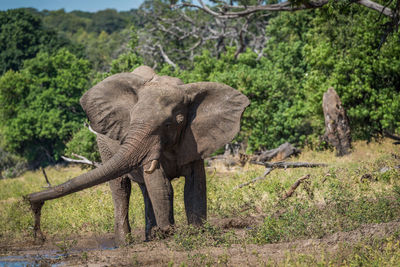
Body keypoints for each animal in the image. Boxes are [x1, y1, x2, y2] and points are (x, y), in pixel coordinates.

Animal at [25, 66, 248, 246]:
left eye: (170, 124)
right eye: (130, 119)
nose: (32, 202)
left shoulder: (194, 139)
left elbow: (196, 184)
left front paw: (196, 233)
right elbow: (161, 184)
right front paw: (169, 233)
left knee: (143, 189)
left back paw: (151, 236)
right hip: (104, 146)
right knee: (121, 188)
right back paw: (126, 243)